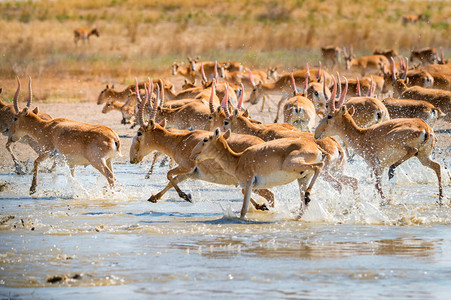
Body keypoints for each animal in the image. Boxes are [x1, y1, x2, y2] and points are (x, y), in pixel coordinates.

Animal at [130, 95, 276, 210]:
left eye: (139, 133)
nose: (132, 159)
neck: (180, 140)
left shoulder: (186, 166)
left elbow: (169, 175)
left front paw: (186, 196)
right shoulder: (189, 172)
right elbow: (173, 180)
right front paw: (154, 197)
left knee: (269, 195)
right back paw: (261, 206)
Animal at [190, 128, 324, 218]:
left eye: (205, 139)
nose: (192, 155)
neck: (238, 160)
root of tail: (315, 147)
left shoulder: (249, 183)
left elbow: (243, 210)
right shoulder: (251, 186)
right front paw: (262, 206)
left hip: (293, 165)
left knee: (319, 166)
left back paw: (308, 194)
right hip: (302, 178)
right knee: (303, 203)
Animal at [316, 77, 444, 204]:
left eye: (330, 116)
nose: (316, 132)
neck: (362, 135)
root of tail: (425, 128)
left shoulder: (374, 164)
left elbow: (378, 186)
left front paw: (383, 202)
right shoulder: (380, 167)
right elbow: (376, 185)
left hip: (394, 140)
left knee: (413, 150)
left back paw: (392, 170)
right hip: (424, 157)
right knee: (437, 166)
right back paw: (440, 198)